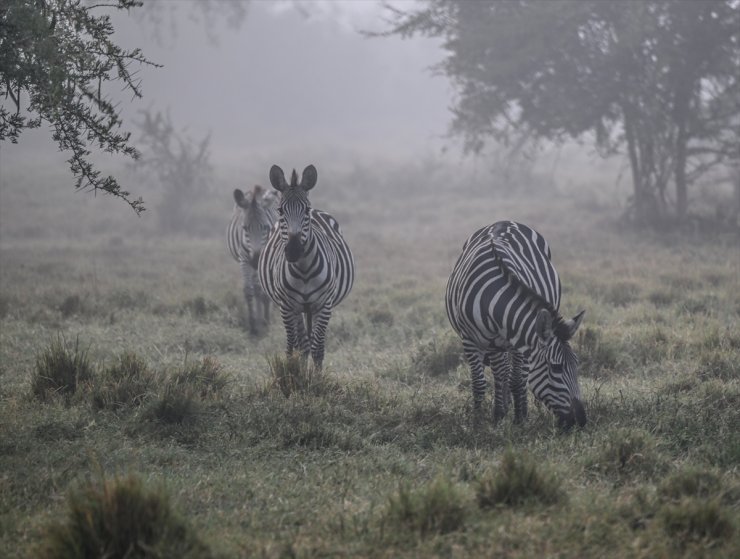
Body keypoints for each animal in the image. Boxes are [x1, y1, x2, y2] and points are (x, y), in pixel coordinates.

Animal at [225, 185, 278, 336]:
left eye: (266, 227)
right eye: (245, 228)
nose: (256, 260)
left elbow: (266, 290)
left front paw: (266, 321)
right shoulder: (244, 259)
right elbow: (249, 290)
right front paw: (254, 325)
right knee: (257, 288)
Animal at [258, 164, 354, 370]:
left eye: (306, 210)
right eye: (280, 210)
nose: (294, 251)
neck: (304, 271)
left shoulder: (324, 305)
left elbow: (318, 349)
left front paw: (317, 379)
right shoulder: (287, 306)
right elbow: (293, 348)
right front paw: (295, 375)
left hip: (310, 308)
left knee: (309, 344)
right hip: (298, 309)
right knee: (300, 345)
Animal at [442, 221, 588, 426]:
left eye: (577, 364)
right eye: (556, 368)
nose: (581, 420)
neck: (493, 298)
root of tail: (504, 221)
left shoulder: (519, 341)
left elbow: (517, 380)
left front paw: (519, 419)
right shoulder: (470, 340)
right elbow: (480, 382)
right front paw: (480, 420)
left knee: (515, 374)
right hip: (495, 344)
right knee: (501, 372)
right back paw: (503, 408)